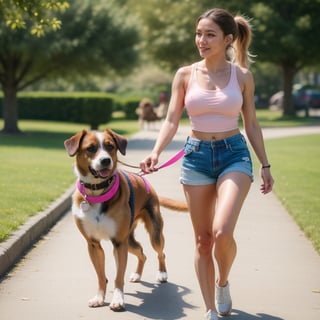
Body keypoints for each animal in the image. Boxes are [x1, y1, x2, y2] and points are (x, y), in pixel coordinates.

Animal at [63, 129, 186, 312]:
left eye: (110, 146)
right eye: (91, 148)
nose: (105, 160)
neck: (97, 193)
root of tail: (143, 179)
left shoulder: (119, 243)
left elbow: (118, 276)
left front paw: (118, 300)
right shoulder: (93, 244)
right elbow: (101, 275)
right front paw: (99, 297)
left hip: (152, 233)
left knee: (160, 252)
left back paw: (162, 273)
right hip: (129, 239)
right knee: (141, 252)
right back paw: (137, 274)